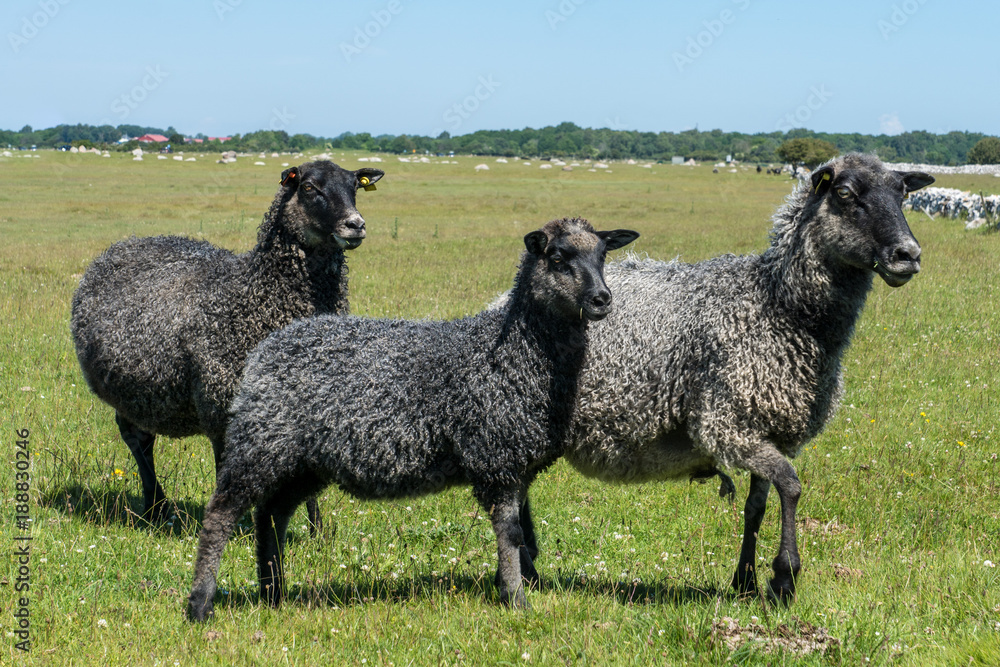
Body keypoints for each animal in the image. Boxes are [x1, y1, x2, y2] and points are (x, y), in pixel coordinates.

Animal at [71, 160, 384, 529]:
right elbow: (226, 469)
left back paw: (155, 508)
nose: (356, 225)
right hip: (124, 389)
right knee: (136, 439)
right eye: (309, 187)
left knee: (143, 438)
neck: (255, 297)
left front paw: (316, 532)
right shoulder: (220, 405)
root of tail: (122, 245)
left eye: (355, 186)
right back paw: (154, 506)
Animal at [186, 218, 639, 621]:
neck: (514, 353)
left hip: (302, 459)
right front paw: (517, 601)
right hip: (261, 440)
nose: (602, 298)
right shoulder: (495, 456)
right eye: (558, 257)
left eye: (603, 254)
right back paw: (201, 605)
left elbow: (522, 535)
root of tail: (270, 345)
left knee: (272, 514)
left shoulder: (517, 463)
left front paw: (517, 585)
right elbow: (511, 534)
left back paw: (273, 593)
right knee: (221, 513)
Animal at [513, 153, 934, 603]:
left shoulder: (768, 426)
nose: (908, 255)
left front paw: (745, 581)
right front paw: (784, 578)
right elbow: (791, 485)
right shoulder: (726, 423)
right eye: (844, 193)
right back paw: (527, 569)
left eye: (903, 194)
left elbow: (757, 506)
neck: (776, 305)